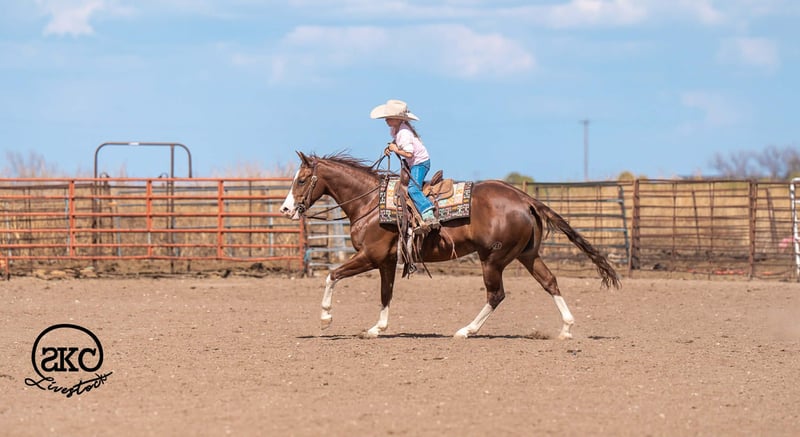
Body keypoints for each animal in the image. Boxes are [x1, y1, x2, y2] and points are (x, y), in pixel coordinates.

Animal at [280, 152, 620, 339]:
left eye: (302, 179)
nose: (285, 209)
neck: (370, 203)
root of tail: (525, 198)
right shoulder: (386, 261)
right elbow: (386, 294)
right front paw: (377, 329)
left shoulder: (370, 256)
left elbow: (332, 275)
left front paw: (326, 318)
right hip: (527, 255)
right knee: (550, 282)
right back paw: (566, 329)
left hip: (492, 259)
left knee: (496, 295)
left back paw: (465, 331)